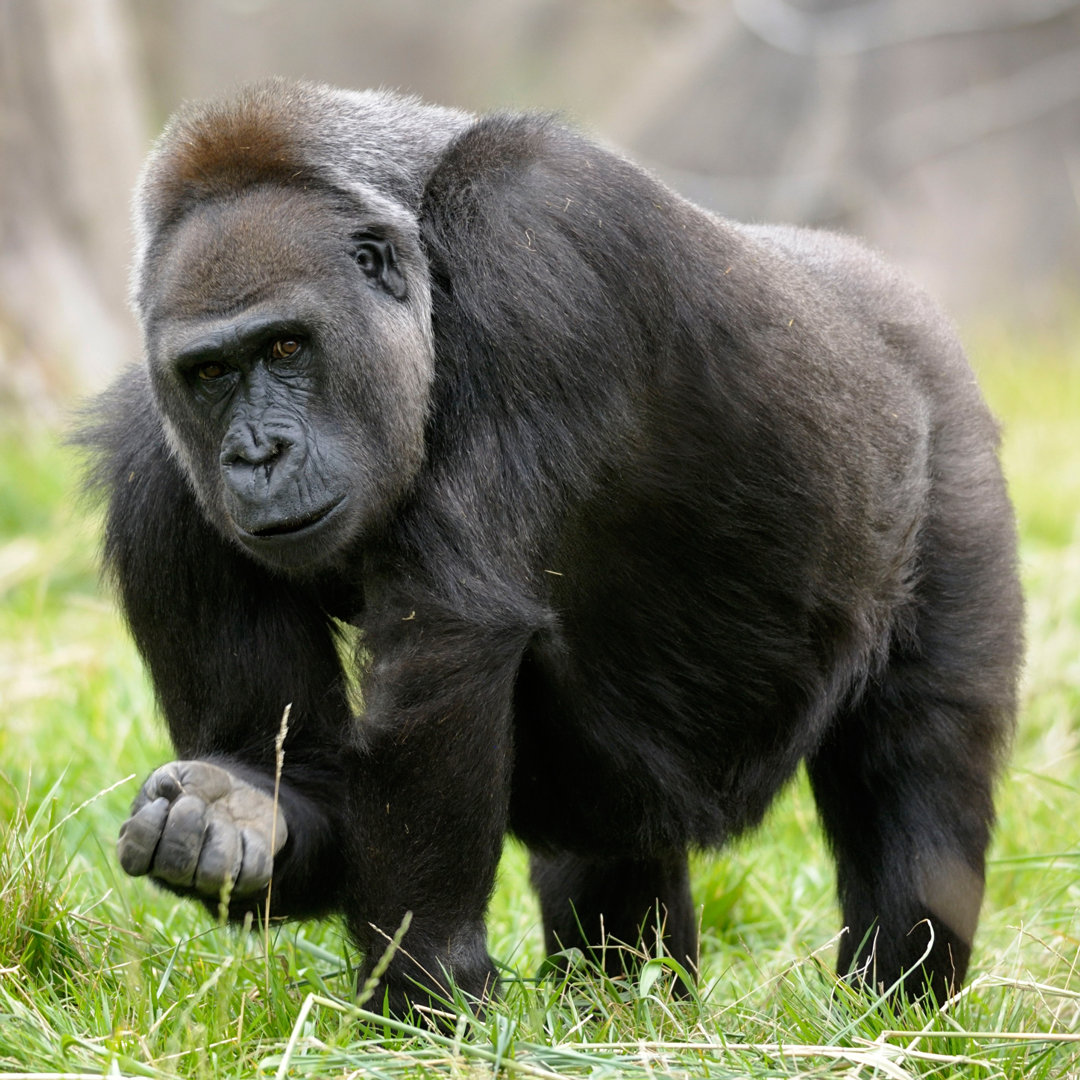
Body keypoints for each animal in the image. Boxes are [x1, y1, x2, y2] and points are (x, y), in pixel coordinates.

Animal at [84, 79, 1019, 1015]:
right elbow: (299, 768)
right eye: (210, 373)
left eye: (285, 345)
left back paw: (893, 1006)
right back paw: (629, 1003)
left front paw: (426, 987)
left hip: (946, 442)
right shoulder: (152, 463)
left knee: (920, 766)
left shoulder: (534, 234)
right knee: (608, 845)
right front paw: (230, 811)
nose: (255, 456)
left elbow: (453, 638)